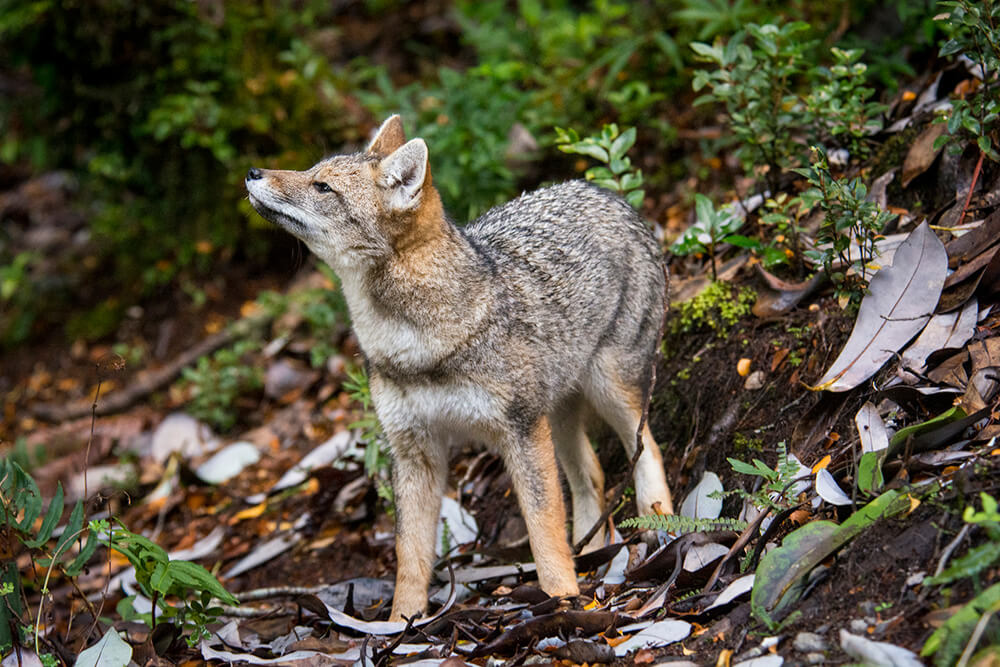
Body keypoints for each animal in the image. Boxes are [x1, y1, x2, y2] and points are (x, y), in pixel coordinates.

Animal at [246, 117, 676, 624]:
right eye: (313, 173)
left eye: (322, 186)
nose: (252, 171)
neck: (413, 346)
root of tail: (606, 192)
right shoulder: (413, 451)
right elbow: (410, 555)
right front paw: (402, 623)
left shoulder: (520, 432)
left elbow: (544, 529)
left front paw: (562, 599)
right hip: (557, 416)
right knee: (590, 474)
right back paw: (593, 554)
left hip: (608, 391)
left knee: (648, 449)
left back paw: (661, 528)